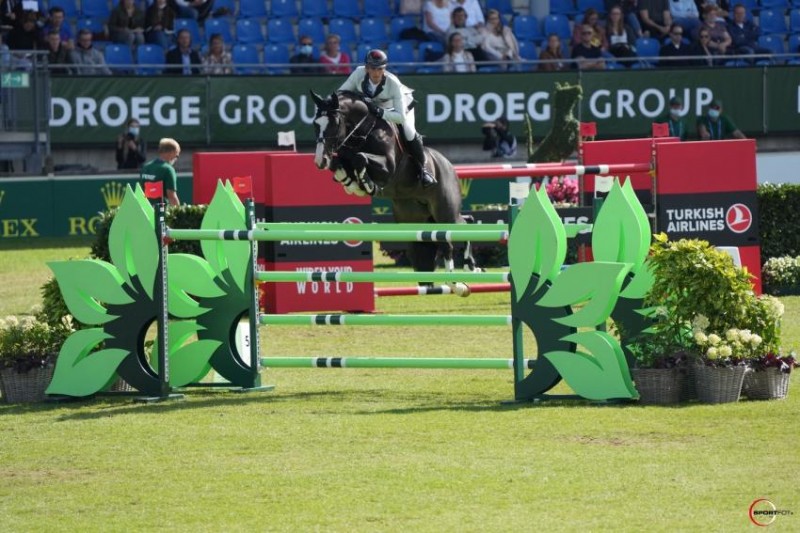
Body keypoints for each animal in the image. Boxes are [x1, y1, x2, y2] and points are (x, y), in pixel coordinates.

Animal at [310, 90, 478, 275]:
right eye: (315, 124)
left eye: (334, 123)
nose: (320, 161)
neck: (363, 132)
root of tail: (449, 165)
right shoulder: (342, 156)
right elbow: (339, 164)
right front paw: (352, 184)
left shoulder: (387, 168)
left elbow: (360, 158)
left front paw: (367, 185)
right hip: (416, 216)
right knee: (456, 228)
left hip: (445, 212)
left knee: (456, 232)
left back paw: (468, 267)